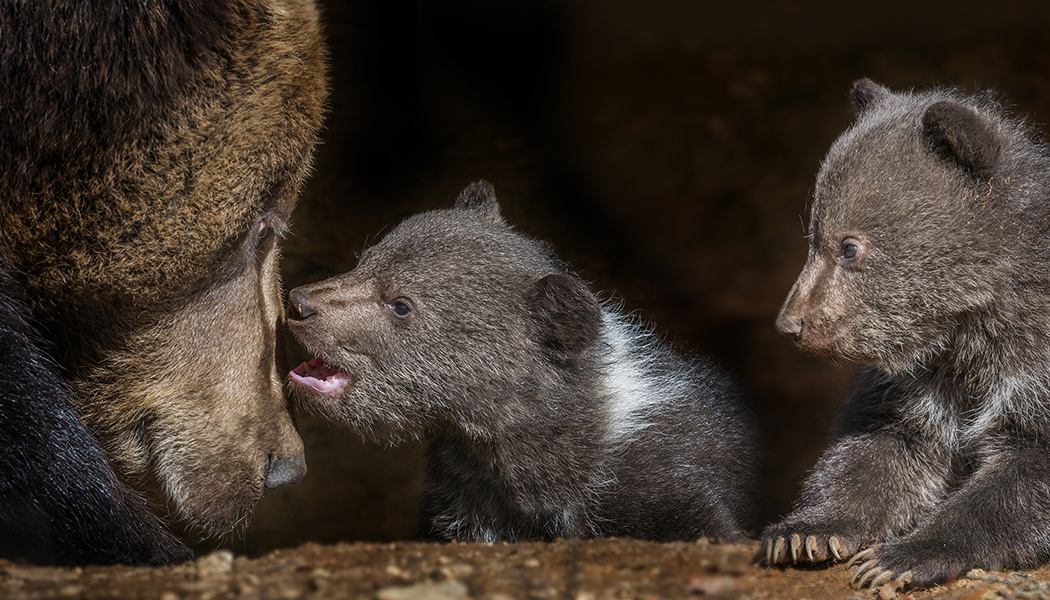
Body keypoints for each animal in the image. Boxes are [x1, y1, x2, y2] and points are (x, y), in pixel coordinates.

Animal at [764, 78, 1050, 588]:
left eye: (849, 247)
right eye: (813, 236)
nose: (791, 323)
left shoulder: (1031, 368)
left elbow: (1023, 475)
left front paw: (901, 555)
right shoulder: (916, 380)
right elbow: (881, 450)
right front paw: (804, 531)